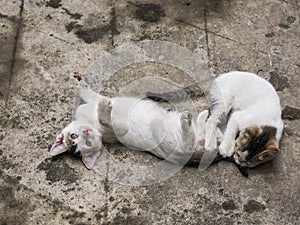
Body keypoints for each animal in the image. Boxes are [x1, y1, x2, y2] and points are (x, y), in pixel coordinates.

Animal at [49, 73, 209, 169]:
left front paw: (79, 83)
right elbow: (109, 120)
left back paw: (204, 116)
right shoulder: (119, 130)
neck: (91, 122)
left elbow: (90, 95)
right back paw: (186, 121)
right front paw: (104, 109)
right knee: (187, 144)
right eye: (87, 144)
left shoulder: (90, 103)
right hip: (170, 144)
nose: (86, 131)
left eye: (73, 135)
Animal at [146, 71, 282, 168]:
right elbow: (231, 131)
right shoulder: (238, 116)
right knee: (211, 120)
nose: (239, 162)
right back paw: (211, 142)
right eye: (238, 154)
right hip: (226, 100)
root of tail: (219, 77)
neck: (267, 122)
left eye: (249, 163)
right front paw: (226, 147)